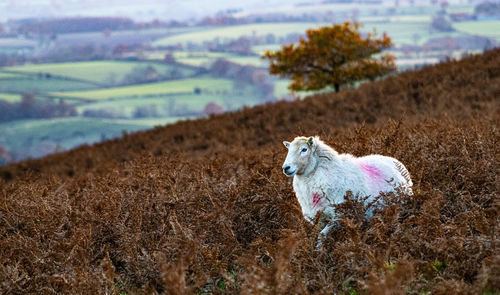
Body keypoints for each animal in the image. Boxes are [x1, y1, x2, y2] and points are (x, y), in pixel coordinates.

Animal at [284, 136, 412, 245]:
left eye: (304, 149)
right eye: (288, 150)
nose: (286, 168)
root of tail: (394, 160)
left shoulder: (339, 215)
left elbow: (321, 236)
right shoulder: (318, 219)